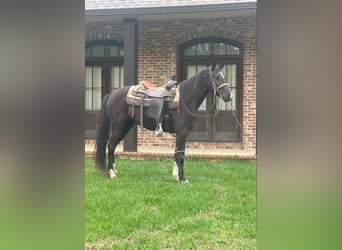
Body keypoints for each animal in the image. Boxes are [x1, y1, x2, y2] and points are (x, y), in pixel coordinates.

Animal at [93, 63, 232, 183]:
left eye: (224, 76)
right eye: (216, 76)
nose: (229, 96)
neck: (185, 99)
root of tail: (111, 95)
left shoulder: (180, 134)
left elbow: (177, 153)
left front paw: (176, 176)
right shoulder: (182, 132)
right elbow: (180, 155)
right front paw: (182, 178)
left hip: (125, 126)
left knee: (113, 146)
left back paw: (114, 170)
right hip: (118, 126)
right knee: (111, 146)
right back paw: (112, 173)